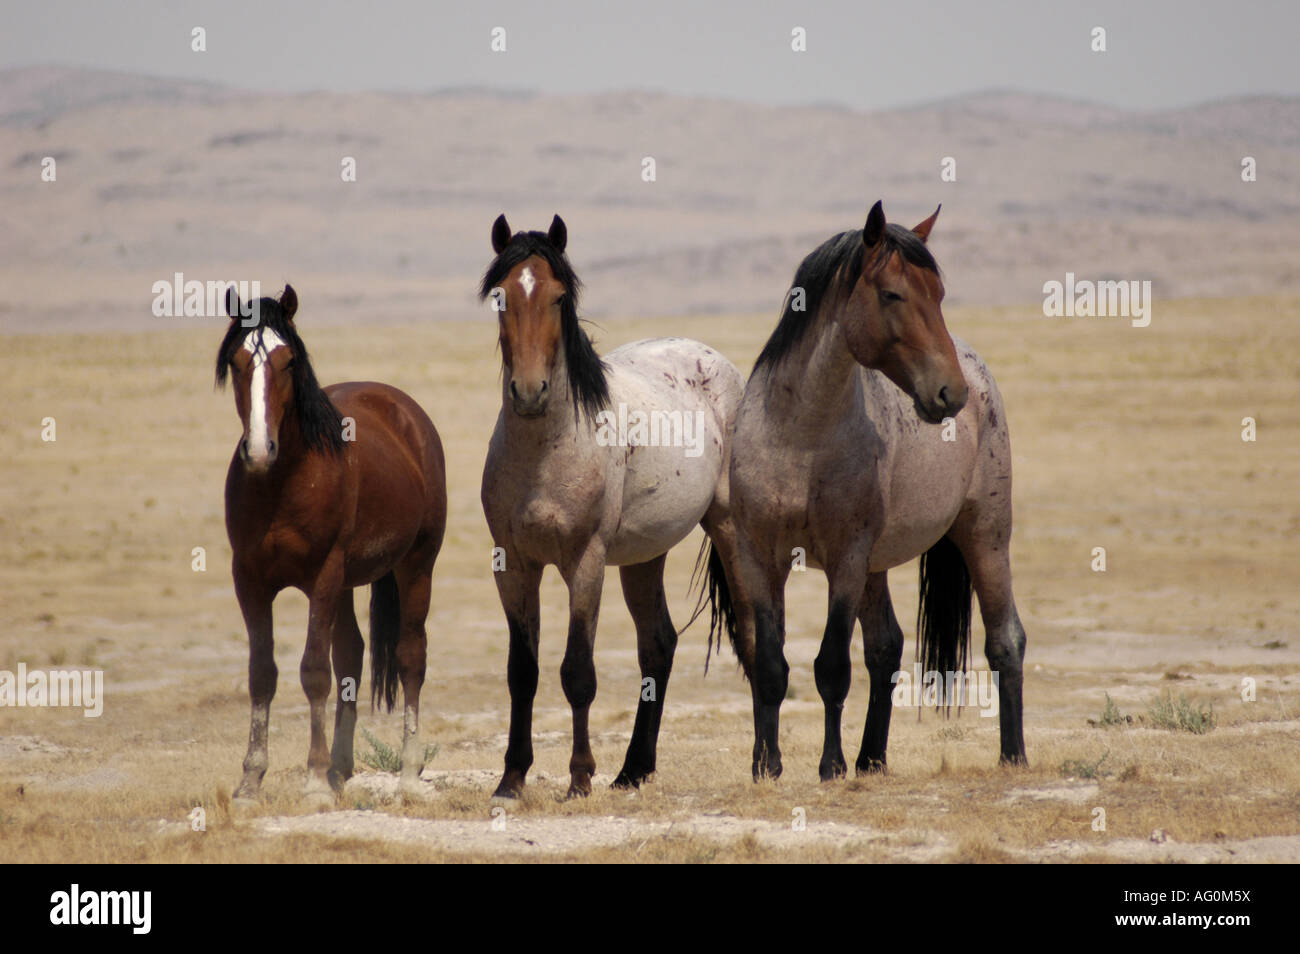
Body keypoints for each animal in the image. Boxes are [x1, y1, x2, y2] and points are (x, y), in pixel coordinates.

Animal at [218, 285, 447, 800]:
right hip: (346, 584)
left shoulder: (322, 574)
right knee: (352, 655)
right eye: (238, 363)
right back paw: (342, 767)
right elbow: (263, 673)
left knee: (411, 656)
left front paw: (315, 780)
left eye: (288, 362)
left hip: (415, 565)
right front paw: (250, 781)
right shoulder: (249, 579)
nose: (259, 449)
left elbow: (314, 672)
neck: (282, 481)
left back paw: (407, 771)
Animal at [478, 214, 748, 800]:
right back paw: (633, 769)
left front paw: (580, 777)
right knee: (659, 645)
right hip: (645, 557)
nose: (528, 392)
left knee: (757, 630)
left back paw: (765, 760)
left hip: (729, 530)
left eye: (558, 297)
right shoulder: (513, 564)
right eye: (500, 296)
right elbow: (521, 672)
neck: (545, 452)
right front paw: (512, 777)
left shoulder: (586, 561)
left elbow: (577, 671)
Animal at [733, 204, 1024, 785]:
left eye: (939, 293)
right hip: (878, 566)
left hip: (985, 536)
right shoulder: (759, 559)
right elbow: (771, 665)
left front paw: (830, 765)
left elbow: (831, 666)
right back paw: (872, 759)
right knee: (886, 647)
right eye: (892, 294)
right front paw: (767, 766)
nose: (949, 393)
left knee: (1006, 639)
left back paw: (1013, 756)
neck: (798, 437)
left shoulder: (846, 560)